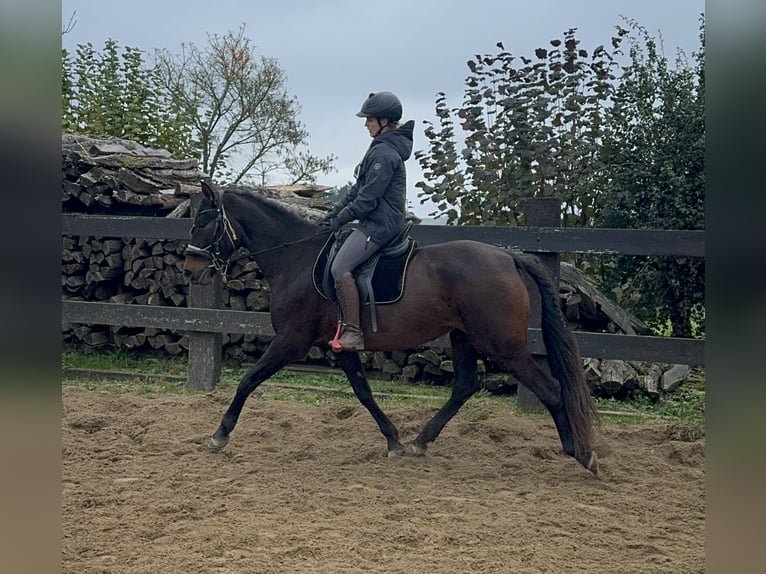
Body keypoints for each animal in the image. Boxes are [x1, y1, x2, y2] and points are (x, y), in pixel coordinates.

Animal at [184, 183, 600, 476]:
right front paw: (394, 440)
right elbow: (364, 393)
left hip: (502, 345)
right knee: (465, 386)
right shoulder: (340, 346)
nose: (190, 270)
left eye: (204, 221)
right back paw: (420, 442)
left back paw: (581, 454)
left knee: (551, 390)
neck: (296, 257)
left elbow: (247, 381)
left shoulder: (291, 341)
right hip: (463, 337)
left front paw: (220, 435)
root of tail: (509, 256)